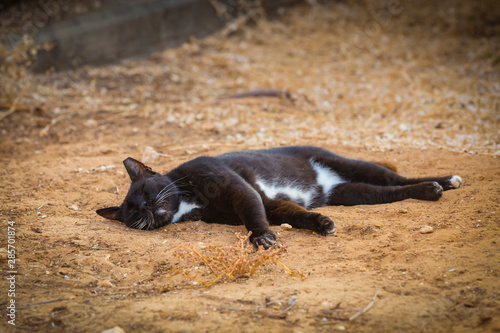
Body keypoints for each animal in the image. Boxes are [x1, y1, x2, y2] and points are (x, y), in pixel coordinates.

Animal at [96, 145, 460, 246]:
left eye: (145, 190)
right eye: (133, 215)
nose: (146, 207)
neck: (189, 202)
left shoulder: (238, 189)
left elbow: (254, 216)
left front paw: (261, 237)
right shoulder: (267, 202)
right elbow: (293, 214)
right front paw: (321, 224)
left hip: (352, 165)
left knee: (397, 177)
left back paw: (443, 182)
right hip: (352, 192)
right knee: (391, 191)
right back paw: (432, 189)